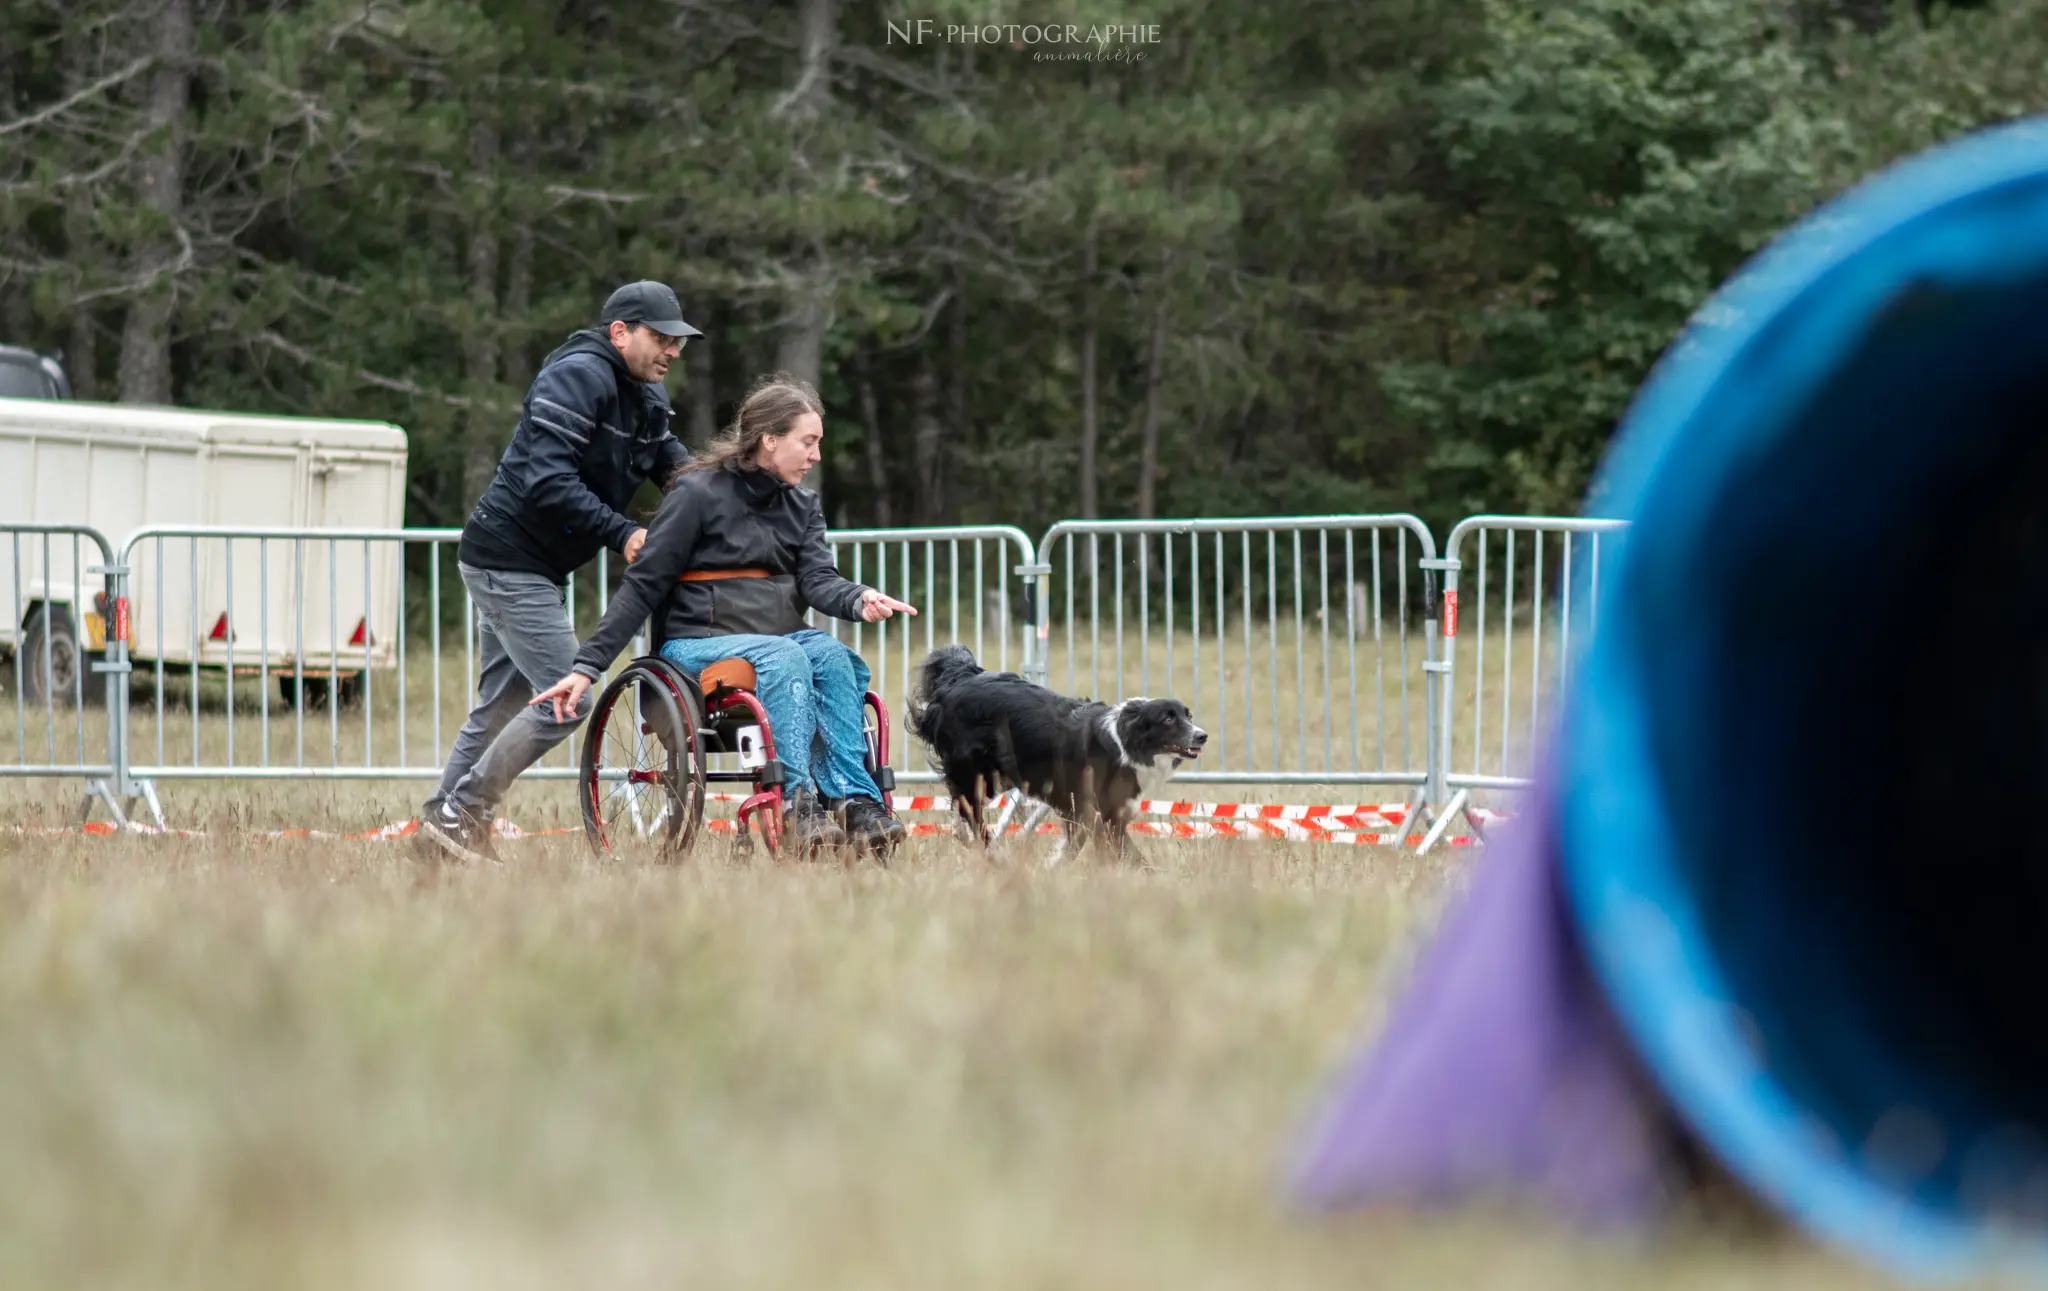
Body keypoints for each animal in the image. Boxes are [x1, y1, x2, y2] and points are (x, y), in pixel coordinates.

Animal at [909, 643, 1204, 860]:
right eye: (1168, 719)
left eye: (1187, 715)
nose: (1202, 736)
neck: (1123, 740)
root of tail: (959, 678)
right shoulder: (1092, 809)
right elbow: (1128, 855)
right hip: (976, 771)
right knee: (971, 814)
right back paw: (996, 855)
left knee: (962, 815)